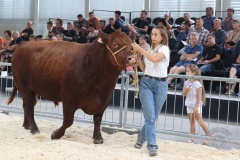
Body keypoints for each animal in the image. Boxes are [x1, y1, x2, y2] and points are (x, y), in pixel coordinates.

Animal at [7, 30, 135, 143]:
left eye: (131, 45)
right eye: (114, 44)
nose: (132, 58)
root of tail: (23, 44)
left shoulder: (104, 100)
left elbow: (98, 120)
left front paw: (98, 138)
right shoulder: (69, 98)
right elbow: (68, 120)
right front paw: (55, 134)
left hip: (31, 90)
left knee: (26, 106)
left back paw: (27, 126)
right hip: (24, 86)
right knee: (29, 108)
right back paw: (34, 129)